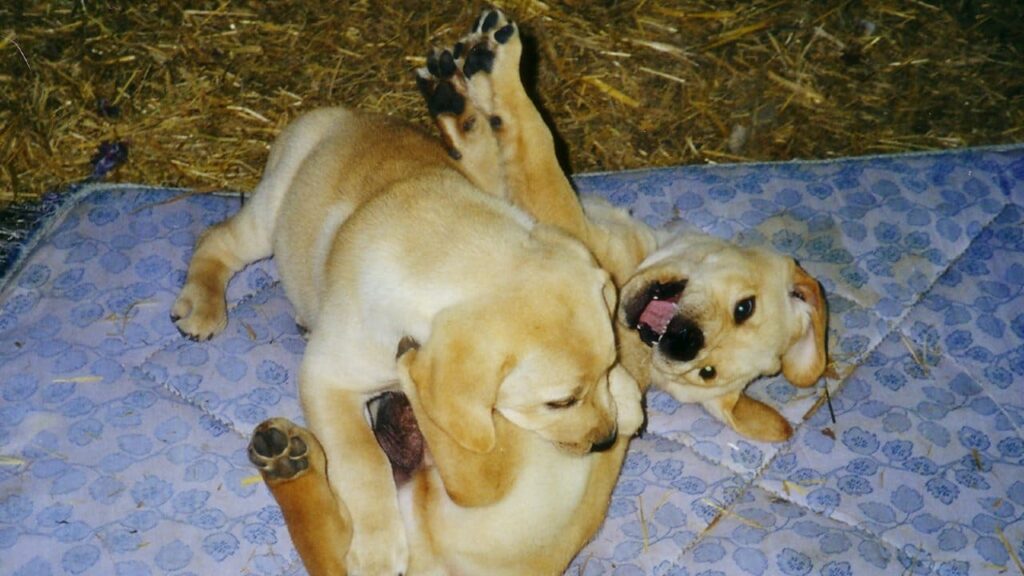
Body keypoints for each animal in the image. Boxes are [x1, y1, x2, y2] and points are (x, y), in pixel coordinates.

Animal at [171, 89, 634, 569]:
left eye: (609, 367)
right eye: (558, 403)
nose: (607, 439)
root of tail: (343, 114)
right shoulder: (327, 379)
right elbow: (363, 460)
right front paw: (378, 546)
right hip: (268, 214)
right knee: (217, 239)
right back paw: (202, 304)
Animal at [419, 7, 827, 438]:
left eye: (706, 372)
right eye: (744, 308)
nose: (682, 344)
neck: (637, 260)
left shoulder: (557, 220)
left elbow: (534, 141)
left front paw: (496, 67)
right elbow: (491, 158)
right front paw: (458, 106)